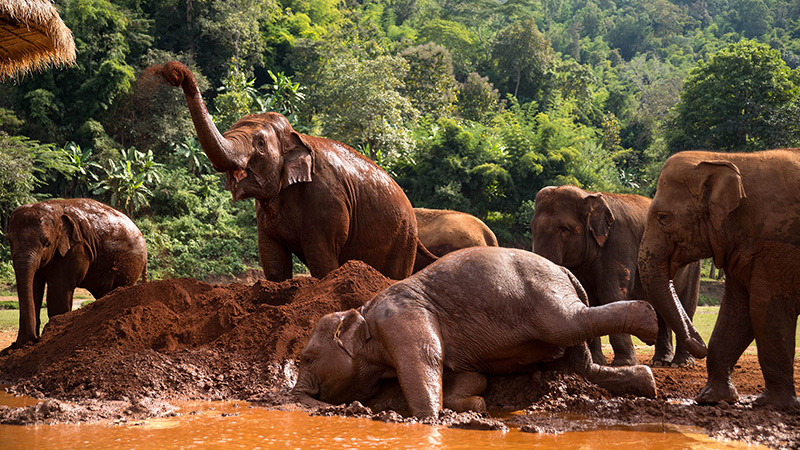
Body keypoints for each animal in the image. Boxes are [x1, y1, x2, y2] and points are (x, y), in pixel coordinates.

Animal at [7, 198, 147, 346]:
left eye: (46, 243)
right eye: (10, 241)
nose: (34, 339)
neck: (54, 208)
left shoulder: (77, 249)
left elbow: (59, 289)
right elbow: (34, 286)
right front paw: (22, 345)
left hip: (130, 265)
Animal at [155, 61, 435, 281]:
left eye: (259, 144)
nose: (173, 72)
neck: (296, 136)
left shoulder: (326, 202)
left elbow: (322, 262)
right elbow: (272, 261)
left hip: (403, 239)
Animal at [293, 247, 659, 419]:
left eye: (307, 358)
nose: (296, 399)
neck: (363, 311)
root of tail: (565, 271)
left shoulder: (402, 319)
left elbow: (425, 361)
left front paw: (428, 419)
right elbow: (471, 375)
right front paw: (477, 404)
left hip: (545, 294)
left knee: (569, 323)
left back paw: (650, 324)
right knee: (582, 365)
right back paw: (647, 384)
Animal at [531, 185, 701, 367]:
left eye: (564, 229)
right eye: (532, 229)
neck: (588, 195)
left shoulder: (619, 244)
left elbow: (611, 294)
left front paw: (623, 364)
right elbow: (587, 298)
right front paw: (596, 361)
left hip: (692, 265)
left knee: (685, 305)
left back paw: (682, 363)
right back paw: (660, 362)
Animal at [638, 149, 800, 409]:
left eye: (663, 217)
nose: (698, 344)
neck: (726, 158)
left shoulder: (777, 243)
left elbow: (767, 310)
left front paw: (773, 405)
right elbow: (737, 311)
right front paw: (712, 399)